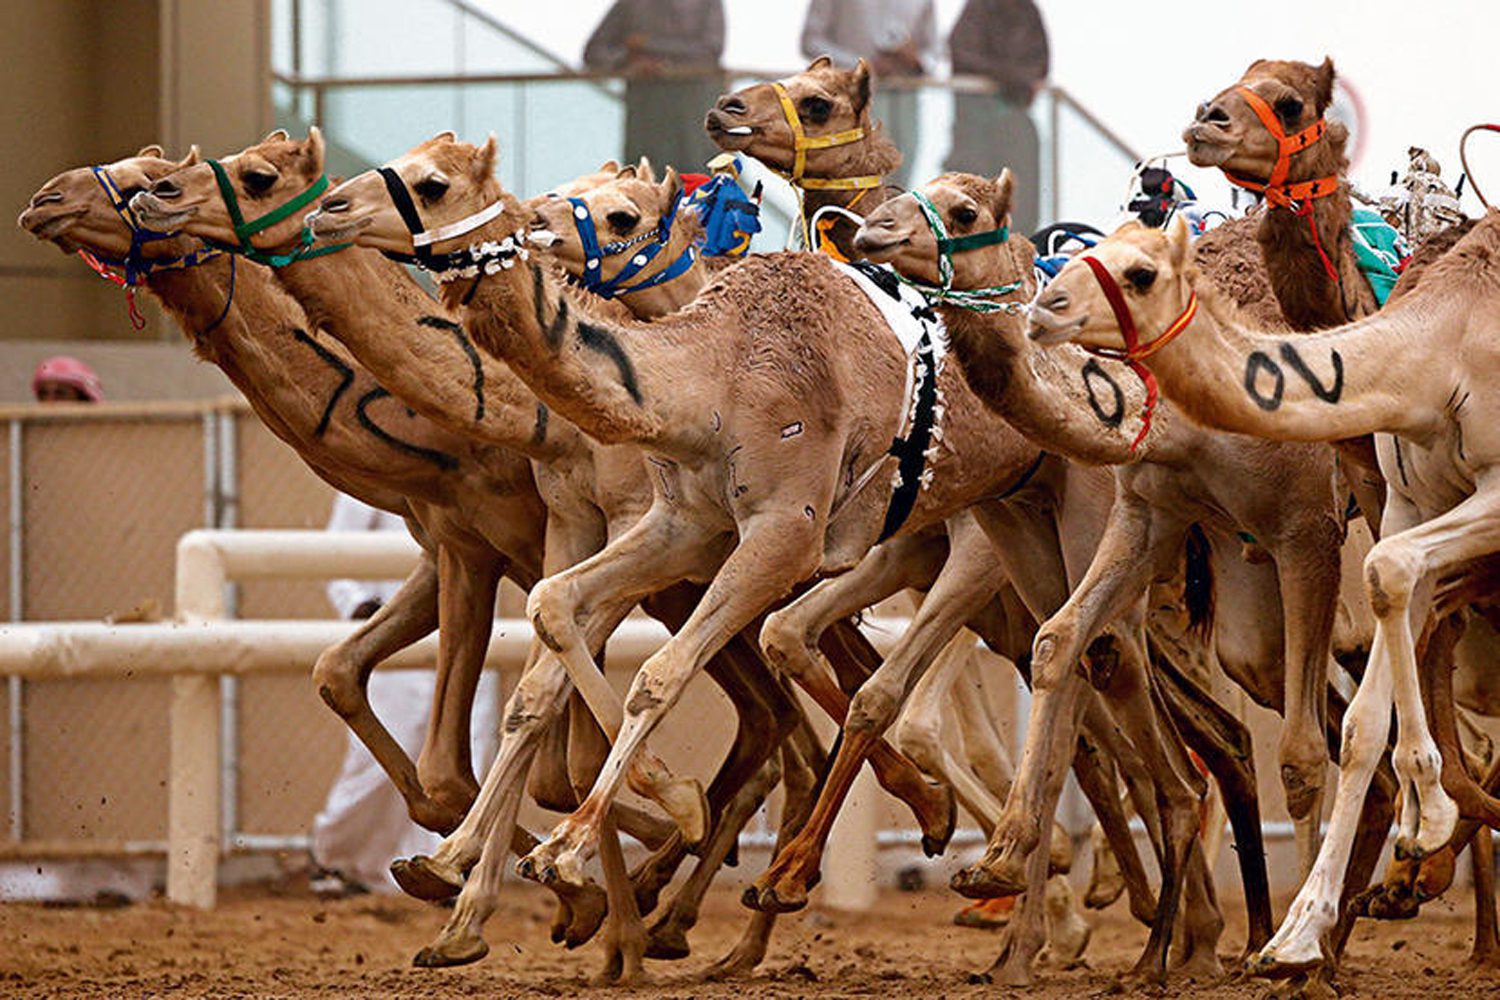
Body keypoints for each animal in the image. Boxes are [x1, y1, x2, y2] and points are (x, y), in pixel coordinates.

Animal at [847, 172, 1406, 983]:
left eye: (964, 209)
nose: (872, 231)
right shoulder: (1151, 511)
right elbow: (1064, 641)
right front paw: (995, 865)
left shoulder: (1306, 529)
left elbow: (1300, 757)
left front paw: (1284, 956)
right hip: (1247, 607)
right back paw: (1326, 932)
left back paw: (1310, 936)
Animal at [1026, 212, 1500, 977]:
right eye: (1087, 253)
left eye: (1142, 274)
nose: (1046, 308)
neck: (1444, 350)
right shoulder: (1408, 501)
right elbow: (1365, 703)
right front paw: (1299, 933)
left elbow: (1384, 580)